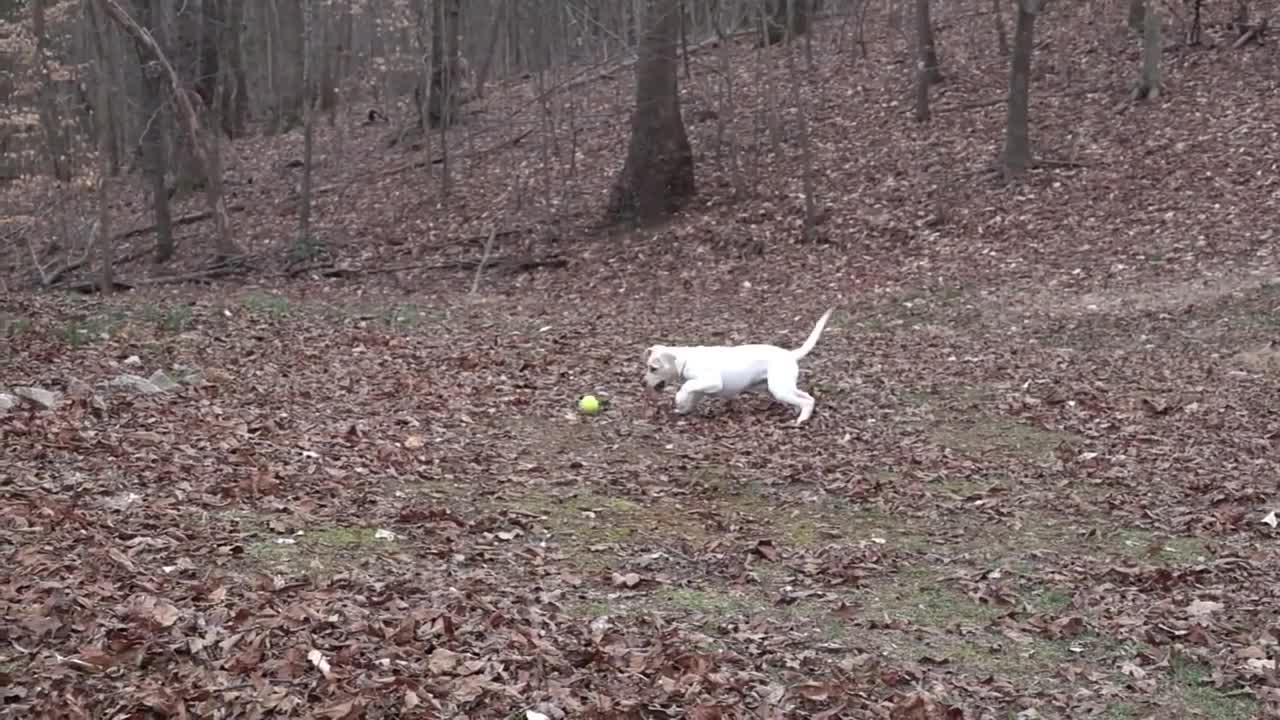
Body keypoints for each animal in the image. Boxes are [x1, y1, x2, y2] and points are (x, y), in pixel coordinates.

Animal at [645, 304, 834, 422]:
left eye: (653, 368)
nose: (643, 382)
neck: (686, 359)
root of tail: (790, 355)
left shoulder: (713, 382)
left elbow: (685, 387)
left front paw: (678, 399)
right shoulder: (700, 388)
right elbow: (691, 395)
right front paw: (683, 409)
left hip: (780, 389)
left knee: (806, 401)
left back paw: (801, 419)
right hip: (779, 388)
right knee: (807, 398)